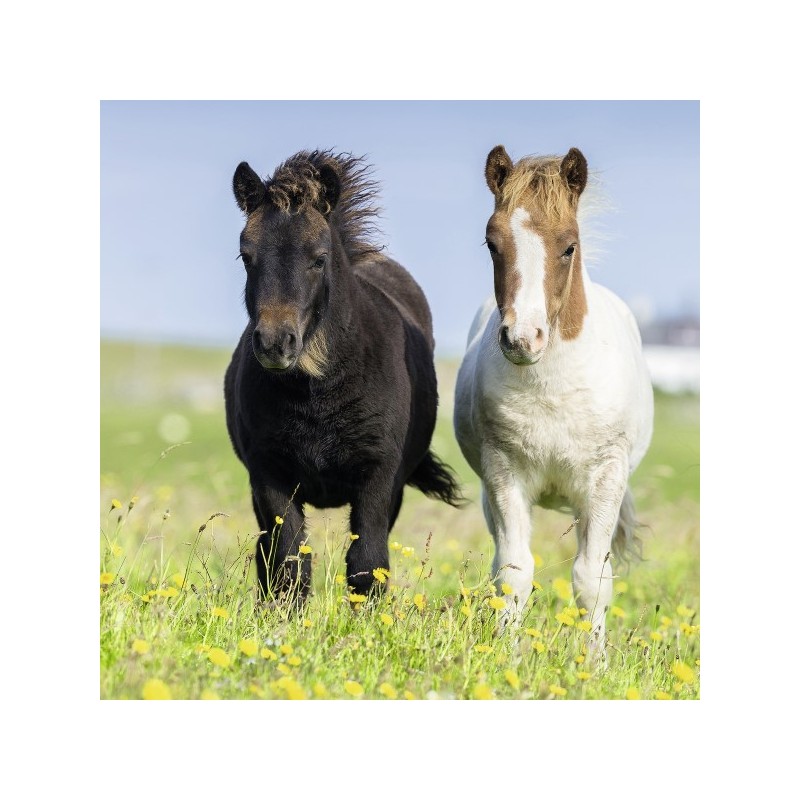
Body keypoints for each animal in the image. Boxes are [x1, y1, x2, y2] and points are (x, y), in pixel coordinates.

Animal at [224, 149, 462, 605]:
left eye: (319, 259)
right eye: (246, 256)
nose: (275, 344)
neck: (316, 393)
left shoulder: (378, 478)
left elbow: (367, 565)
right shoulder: (269, 476)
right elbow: (288, 563)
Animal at [454, 146, 653, 660]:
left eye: (568, 246)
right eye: (492, 243)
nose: (523, 339)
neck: (552, 387)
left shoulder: (604, 480)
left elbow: (591, 580)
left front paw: (595, 665)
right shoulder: (503, 474)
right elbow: (513, 574)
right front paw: (505, 657)